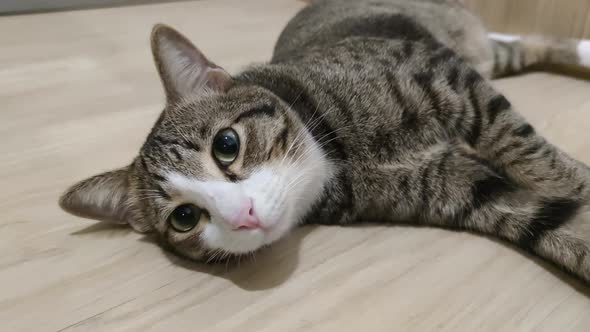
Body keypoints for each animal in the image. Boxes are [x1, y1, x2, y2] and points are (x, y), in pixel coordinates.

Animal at [57, 0, 590, 282]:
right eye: (184, 218)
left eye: (226, 145)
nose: (242, 216)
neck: (339, 158)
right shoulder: (462, 189)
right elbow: (553, 224)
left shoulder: (441, 75)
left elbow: (535, 157)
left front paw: (578, 179)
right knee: (513, 44)